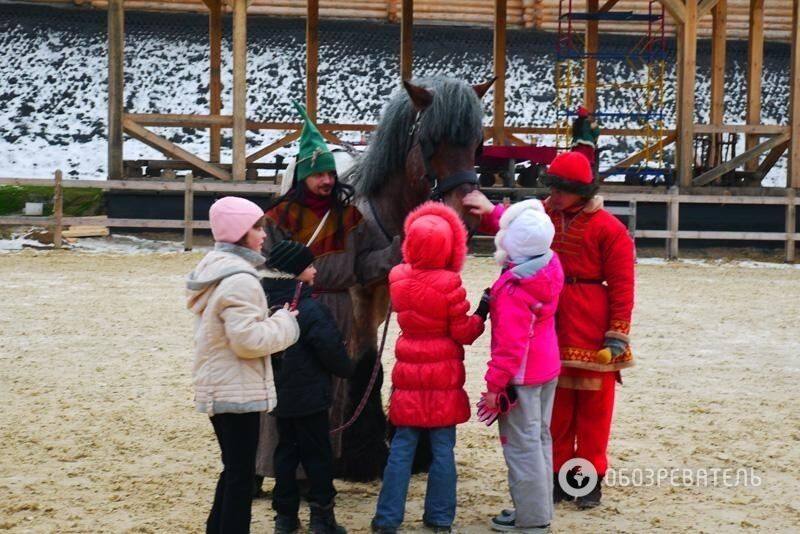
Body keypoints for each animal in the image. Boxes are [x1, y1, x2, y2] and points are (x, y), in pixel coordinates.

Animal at [332, 77, 494, 484]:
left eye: (478, 142)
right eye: (431, 140)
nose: (466, 215)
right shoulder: (360, 296)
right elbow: (366, 363)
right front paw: (361, 456)